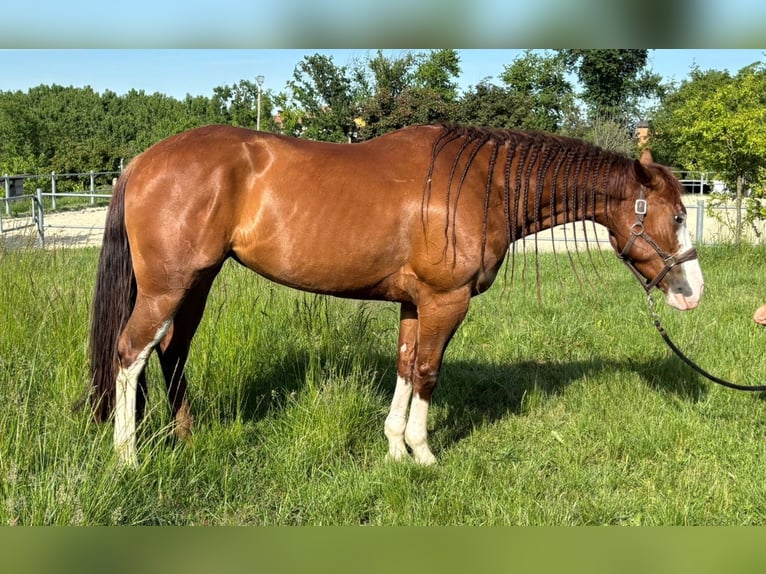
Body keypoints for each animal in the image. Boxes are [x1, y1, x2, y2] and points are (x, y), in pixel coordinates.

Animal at [88, 123, 704, 467]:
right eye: (677, 215)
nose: (693, 292)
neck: (484, 184)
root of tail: (141, 162)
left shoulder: (416, 303)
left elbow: (406, 366)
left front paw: (394, 449)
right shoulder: (446, 301)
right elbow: (428, 371)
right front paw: (424, 454)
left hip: (197, 282)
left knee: (171, 353)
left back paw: (185, 438)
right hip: (168, 287)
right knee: (130, 353)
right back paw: (128, 457)